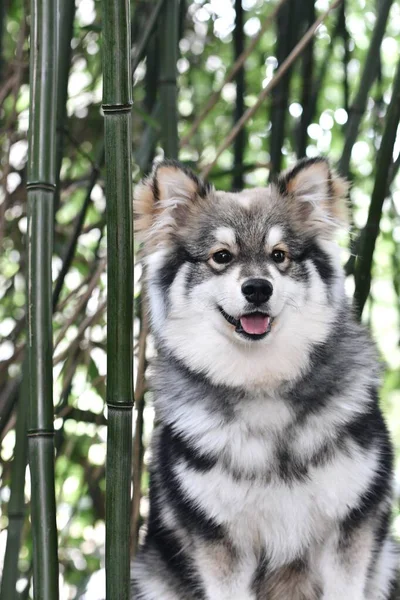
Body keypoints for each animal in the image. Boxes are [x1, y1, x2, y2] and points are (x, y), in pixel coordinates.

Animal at [132, 157, 396, 596]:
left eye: (279, 255)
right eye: (221, 256)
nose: (258, 288)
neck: (262, 384)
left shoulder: (349, 530)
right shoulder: (220, 544)